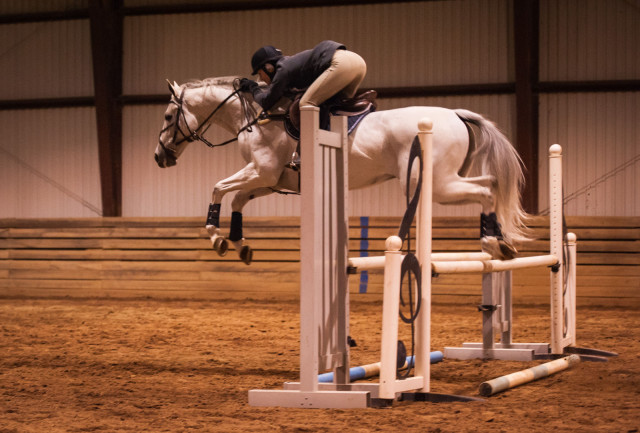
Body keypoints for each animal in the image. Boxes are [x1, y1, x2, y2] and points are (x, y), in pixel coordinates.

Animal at [155, 75, 528, 264]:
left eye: (169, 116)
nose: (160, 158)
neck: (257, 116)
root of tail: (455, 114)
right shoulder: (272, 179)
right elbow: (238, 200)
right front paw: (239, 244)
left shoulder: (261, 171)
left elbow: (219, 188)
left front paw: (216, 236)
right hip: (449, 179)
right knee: (491, 184)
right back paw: (501, 243)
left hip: (437, 184)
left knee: (485, 189)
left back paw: (492, 243)